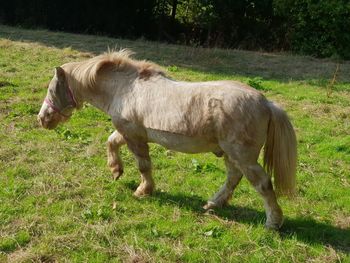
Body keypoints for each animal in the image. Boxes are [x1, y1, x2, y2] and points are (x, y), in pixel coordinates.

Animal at [37, 50, 296, 230]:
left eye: (51, 90)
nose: (42, 119)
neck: (124, 88)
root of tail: (266, 102)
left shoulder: (135, 137)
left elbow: (143, 165)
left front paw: (143, 190)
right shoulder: (130, 132)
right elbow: (111, 142)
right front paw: (116, 170)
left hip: (242, 155)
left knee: (262, 183)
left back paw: (273, 222)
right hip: (231, 154)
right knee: (233, 178)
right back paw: (213, 204)